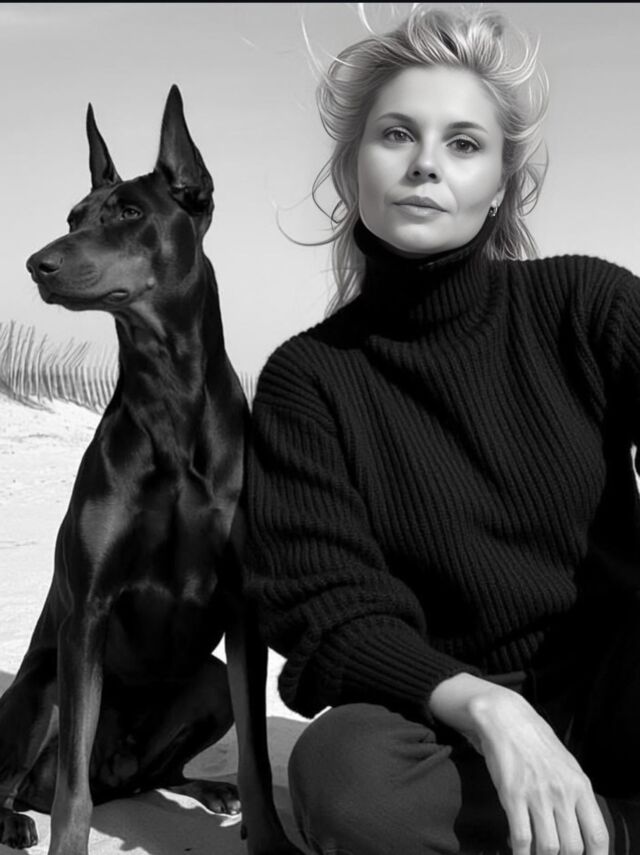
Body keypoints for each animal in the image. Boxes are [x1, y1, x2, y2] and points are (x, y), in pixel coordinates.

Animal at [0, 86, 302, 855]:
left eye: (129, 213)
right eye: (72, 217)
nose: (36, 263)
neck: (167, 391)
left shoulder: (243, 608)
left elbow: (258, 759)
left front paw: (268, 834)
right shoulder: (87, 610)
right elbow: (72, 797)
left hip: (204, 680)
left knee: (140, 774)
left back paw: (204, 787)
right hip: (44, 685)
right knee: (49, 778)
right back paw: (13, 814)